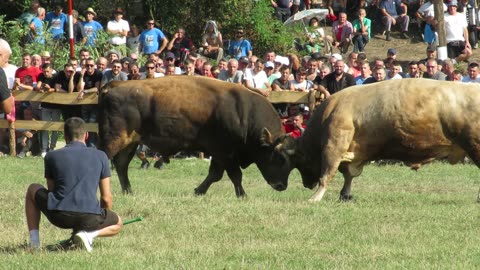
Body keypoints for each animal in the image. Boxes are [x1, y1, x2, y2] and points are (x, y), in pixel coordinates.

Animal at [94, 75, 288, 196]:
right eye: (278, 158)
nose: (282, 186)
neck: (243, 112)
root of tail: (113, 86)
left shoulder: (218, 154)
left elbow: (215, 175)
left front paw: (198, 191)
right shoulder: (225, 153)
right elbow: (235, 175)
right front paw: (243, 195)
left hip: (130, 142)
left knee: (121, 165)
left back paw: (128, 191)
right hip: (115, 140)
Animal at [276, 79, 480, 201]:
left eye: (296, 161)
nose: (306, 184)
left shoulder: (334, 145)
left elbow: (327, 174)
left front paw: (315, 198)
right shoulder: (355, 152)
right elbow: (349, 174)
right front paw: (345, 195)